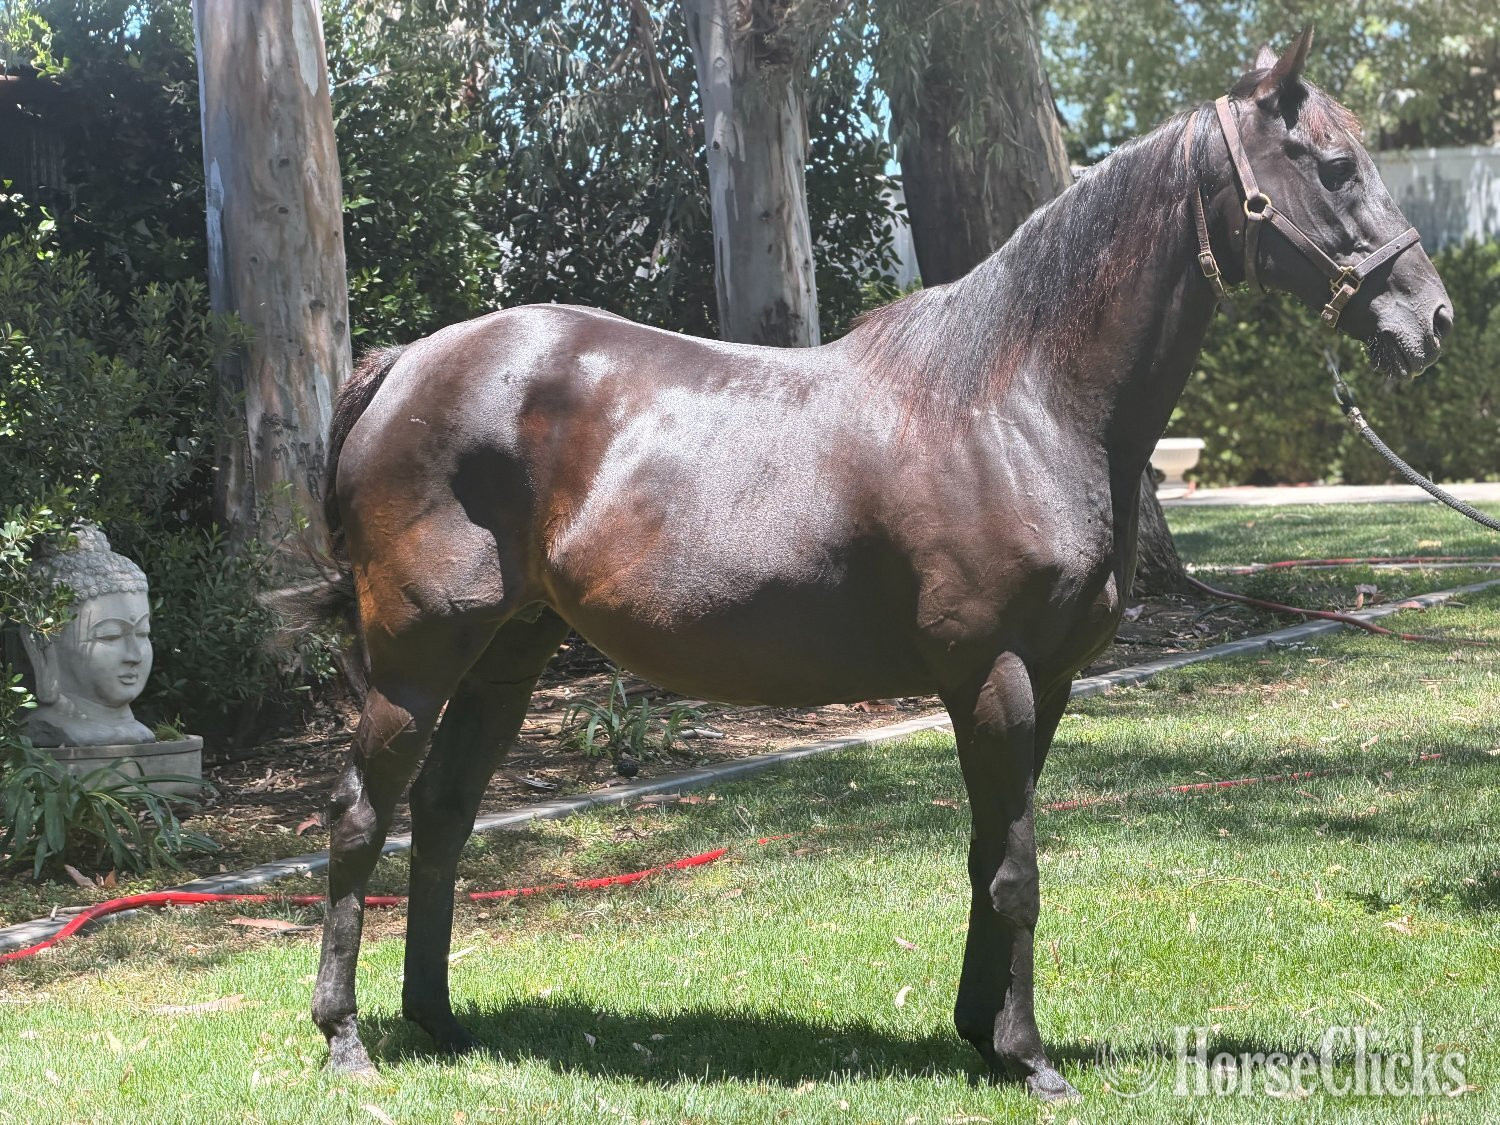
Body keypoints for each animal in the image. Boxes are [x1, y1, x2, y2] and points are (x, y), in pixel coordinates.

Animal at [298, 31, 1450, 1100]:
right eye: (1335, 166)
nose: (1431, 318)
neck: (1019, 400)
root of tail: (405, 362)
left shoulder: (1047, 680)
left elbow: (991, 853)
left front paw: (981, 1033)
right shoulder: (992, 673)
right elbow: (1019, 870)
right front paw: (1030, 1058)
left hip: (510, 652)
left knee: (443, 814)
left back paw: (442, 1023)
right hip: (417, 657)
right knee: (360, 815)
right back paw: (346, 1040)